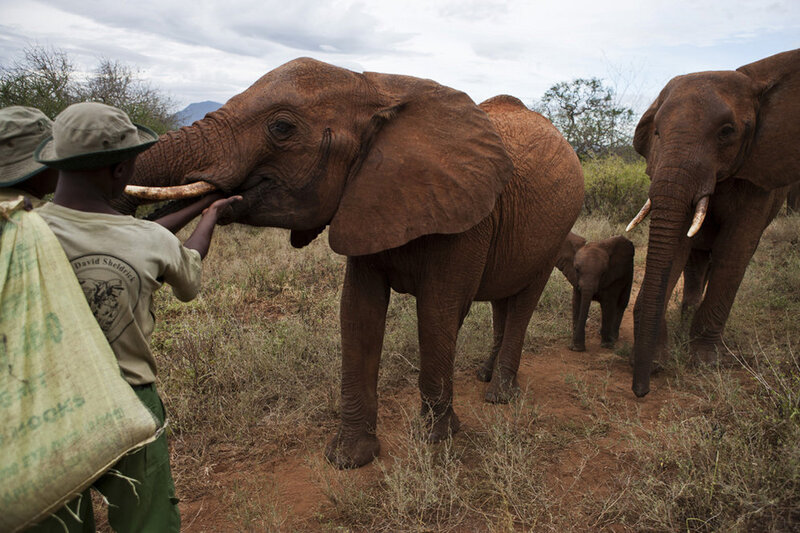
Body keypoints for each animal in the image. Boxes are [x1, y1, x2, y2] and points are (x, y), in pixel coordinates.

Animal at [119, 58, 584, 468]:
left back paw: (500, 395)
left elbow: (438, 312)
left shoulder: (467, 217)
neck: (379, 89)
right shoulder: (364, 198)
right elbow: (358, 312)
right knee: (504, 301)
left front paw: (436, 439)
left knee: (523, 300)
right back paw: (486, 377)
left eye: (282, 128)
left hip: (558, 226)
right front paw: (349, 459)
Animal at [626, 48, 800, 397]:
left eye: (727, 132)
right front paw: (657, 358)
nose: (640, 390)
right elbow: (677, 247)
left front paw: (705, 361)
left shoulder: (759, 171)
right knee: (695, 262)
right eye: (657, 132)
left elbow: (735, 251)